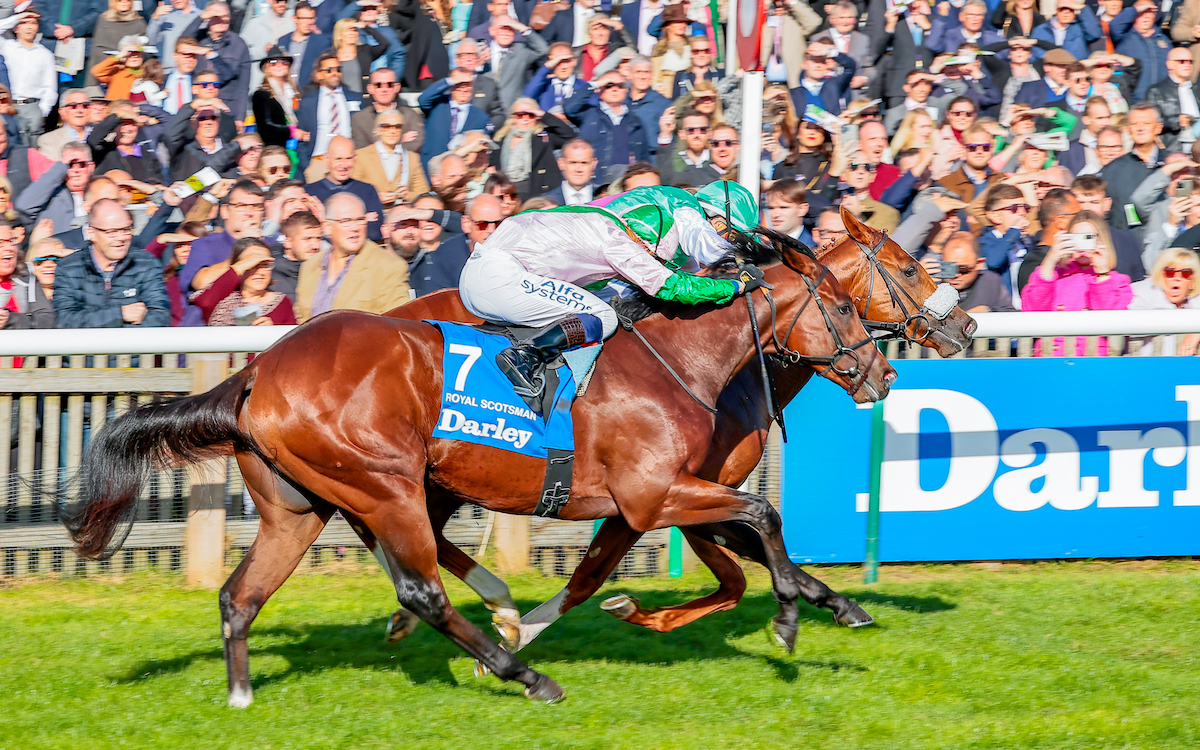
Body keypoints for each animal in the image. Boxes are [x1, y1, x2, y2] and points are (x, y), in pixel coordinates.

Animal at [63, 236, 892, 705]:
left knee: (243, 594)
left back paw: (241, 696)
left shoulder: (656, 499)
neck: (678, 362)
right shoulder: (651, 496)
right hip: (384, 483)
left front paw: (831, 605)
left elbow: (727, 539)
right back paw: (521, 671)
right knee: (421, 588)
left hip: (299, 507)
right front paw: (789, 616)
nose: (884, 373)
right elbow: (761, 516)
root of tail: (258, 369)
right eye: (847, 309)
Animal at [372, 206, 974, 648]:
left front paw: (840, 604)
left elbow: (746, 555)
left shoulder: (678, 494)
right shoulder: (664, 495)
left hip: (441, 478)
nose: (966, 326)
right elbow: (730, 567)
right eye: (907, 269)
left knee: (420, 535)